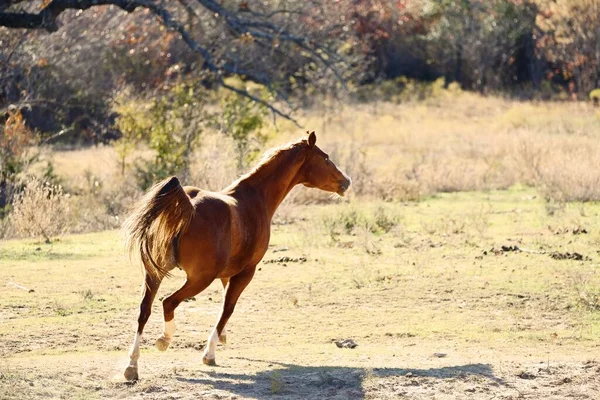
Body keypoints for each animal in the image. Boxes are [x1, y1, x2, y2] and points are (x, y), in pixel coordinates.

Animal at [122, 132, 350, 382]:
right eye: (325, 158)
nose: (346, 181)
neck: (255, 198)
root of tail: (185, 206)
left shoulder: (227, 274)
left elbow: (224, 303)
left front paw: (222, 337)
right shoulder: (246, 272)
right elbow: (227, 308)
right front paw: (209, 353)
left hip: (154, 274)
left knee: (144, 311)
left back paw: (132, 366)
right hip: (198, 279)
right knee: (168, 302)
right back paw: (164, 340)